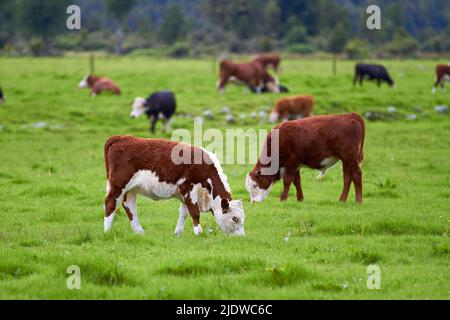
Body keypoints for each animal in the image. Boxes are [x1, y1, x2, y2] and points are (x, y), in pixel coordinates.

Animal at [104, 136, 246, 236]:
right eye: (235, 218)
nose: (242, 237)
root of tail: (120, 138)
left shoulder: (184, 194)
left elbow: (184, 212)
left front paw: (178, 232)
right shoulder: (188, 188)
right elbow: (194, 212)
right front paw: (199, 232)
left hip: (132, 188)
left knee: (129, 206)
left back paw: (139, 232)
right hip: (118, 184)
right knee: (110, 203)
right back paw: (107, 231)